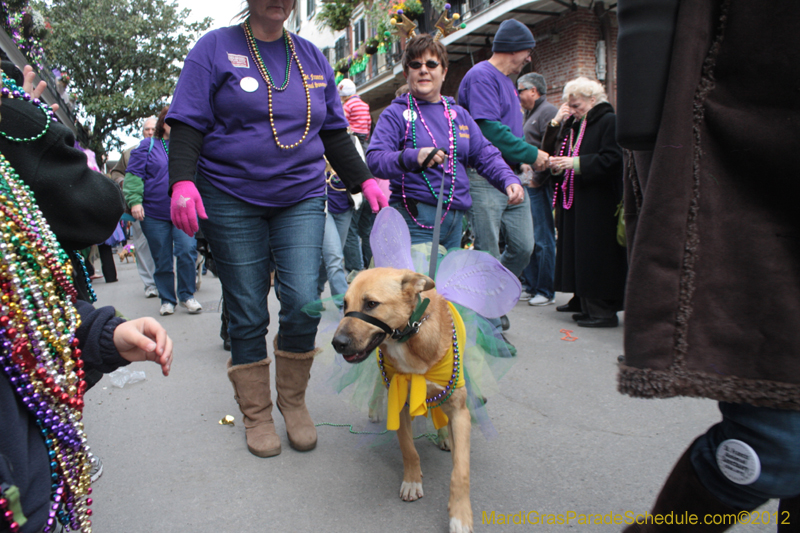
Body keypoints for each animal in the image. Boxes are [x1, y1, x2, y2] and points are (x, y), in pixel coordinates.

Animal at [332, 268, 476, 532]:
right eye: (344, 304)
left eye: (371, 304)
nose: (337, 343)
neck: (411, 337)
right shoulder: (398, 403)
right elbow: (409, 450)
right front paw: (412, 481)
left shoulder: (461, 413)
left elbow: (460, 470)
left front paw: (460, 516)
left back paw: (444, 436)